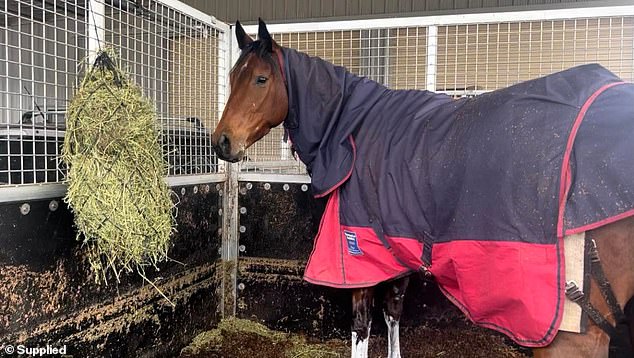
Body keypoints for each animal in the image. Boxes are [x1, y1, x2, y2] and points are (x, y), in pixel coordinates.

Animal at [214, 18, 632, 358]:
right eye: (232, 78)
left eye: (261, 79)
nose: (221, 142)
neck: (355, 131)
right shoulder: (396, 250)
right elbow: (393, 317)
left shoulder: (359, 256)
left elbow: (362, 329)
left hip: (570, 334)